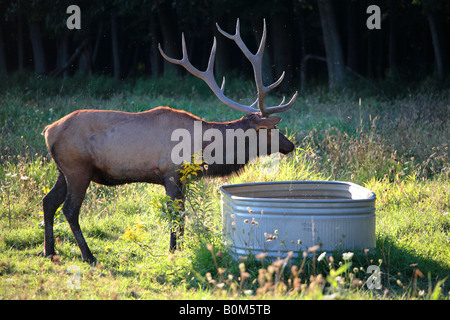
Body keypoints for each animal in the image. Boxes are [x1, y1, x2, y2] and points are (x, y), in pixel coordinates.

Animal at [40, 19, 298, 262]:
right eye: (272, 130)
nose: (290, 145)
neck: (205, 149)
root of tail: (48, 130)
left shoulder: (181, 179)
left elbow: (182, 214)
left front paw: (180, 248)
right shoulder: (171, 174)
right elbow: (176, 214)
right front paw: (173, 249)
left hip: (63, 170)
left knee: (48, 201)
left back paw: (49, 251)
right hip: (77, 168)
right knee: (70, 209)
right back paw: (88, 255)